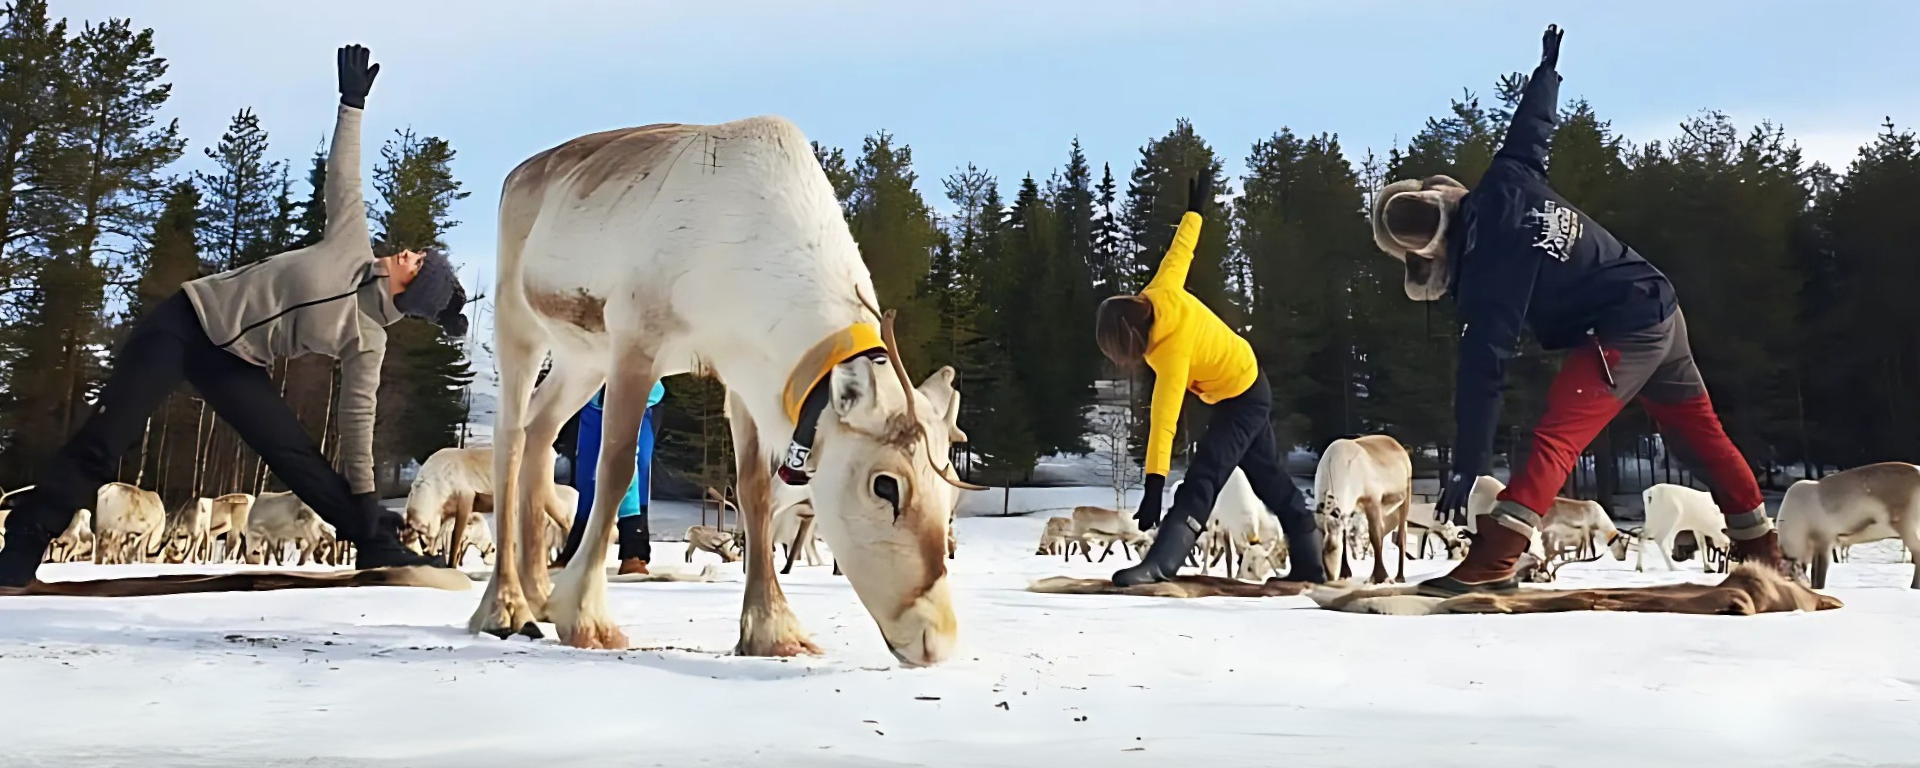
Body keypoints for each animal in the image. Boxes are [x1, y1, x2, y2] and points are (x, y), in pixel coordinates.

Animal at [477, 117, 974, 665]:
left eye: (952, 492)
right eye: (885, 485)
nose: (936, 639)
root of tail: (519, 174)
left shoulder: (745, 377)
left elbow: (755, 489)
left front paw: (774, 632)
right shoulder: (637, 338)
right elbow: (616, 468)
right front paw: (587, 620)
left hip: (582, 358)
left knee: (541, 426)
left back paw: (538, 591)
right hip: (519, 321)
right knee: (510, 435)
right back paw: (505, 607)